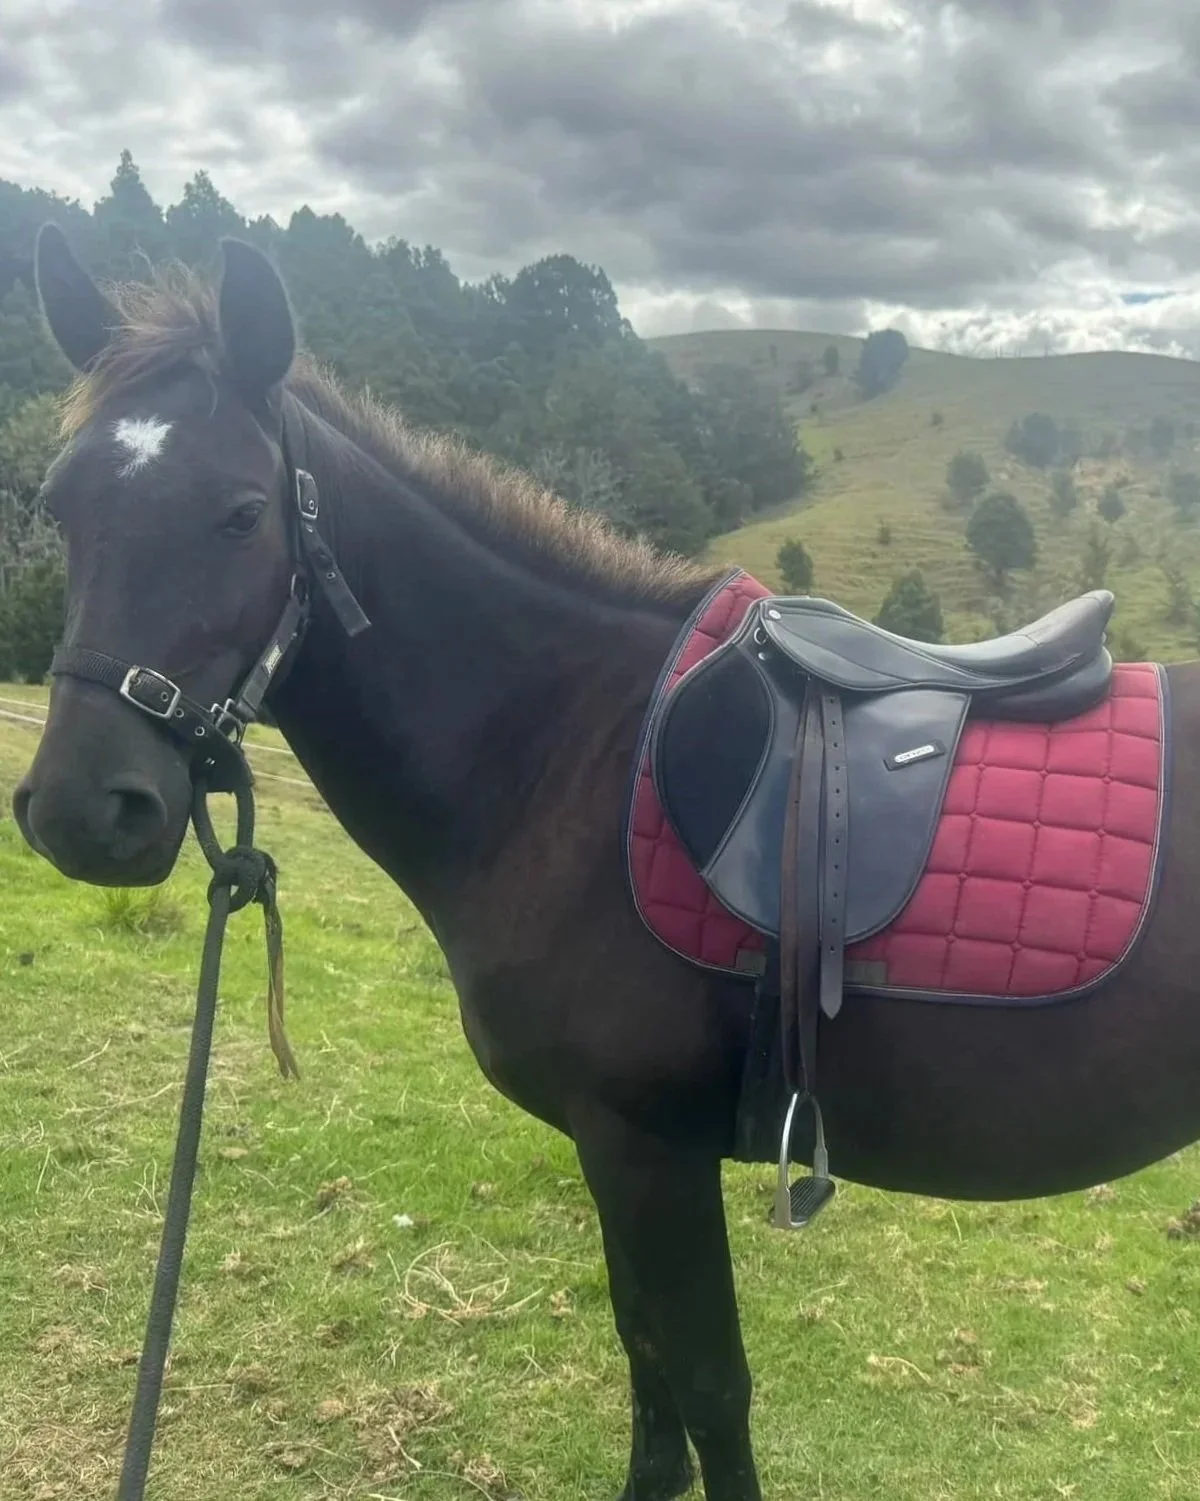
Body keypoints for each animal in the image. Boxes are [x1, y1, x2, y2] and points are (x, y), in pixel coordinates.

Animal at [13, 224, 1200, 1501]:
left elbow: (710, 1383)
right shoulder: (607, 1141)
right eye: (60, 506)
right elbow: (646, 1355)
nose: (84, 808)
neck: (566, 748)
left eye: (240, 515)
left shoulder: (648, 1146)